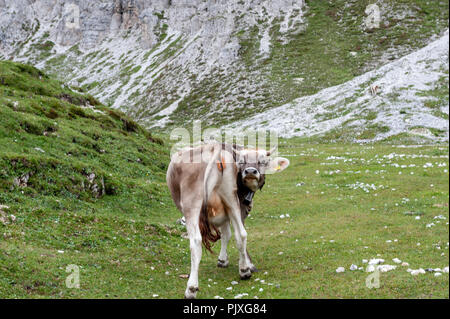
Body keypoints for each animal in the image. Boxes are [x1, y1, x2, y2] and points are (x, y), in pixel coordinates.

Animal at [167, 144, 290, 298]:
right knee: (241, 234)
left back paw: (191, 288)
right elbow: (228, 234)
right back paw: (244, 271)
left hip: (192, 203)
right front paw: (232, 261)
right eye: (242, 161)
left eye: (263, 162)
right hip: (230, 198)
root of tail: (214, 149)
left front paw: (223, 260)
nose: (250, 171)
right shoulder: (234, 208)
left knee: (195, 242)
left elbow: (225, 234)